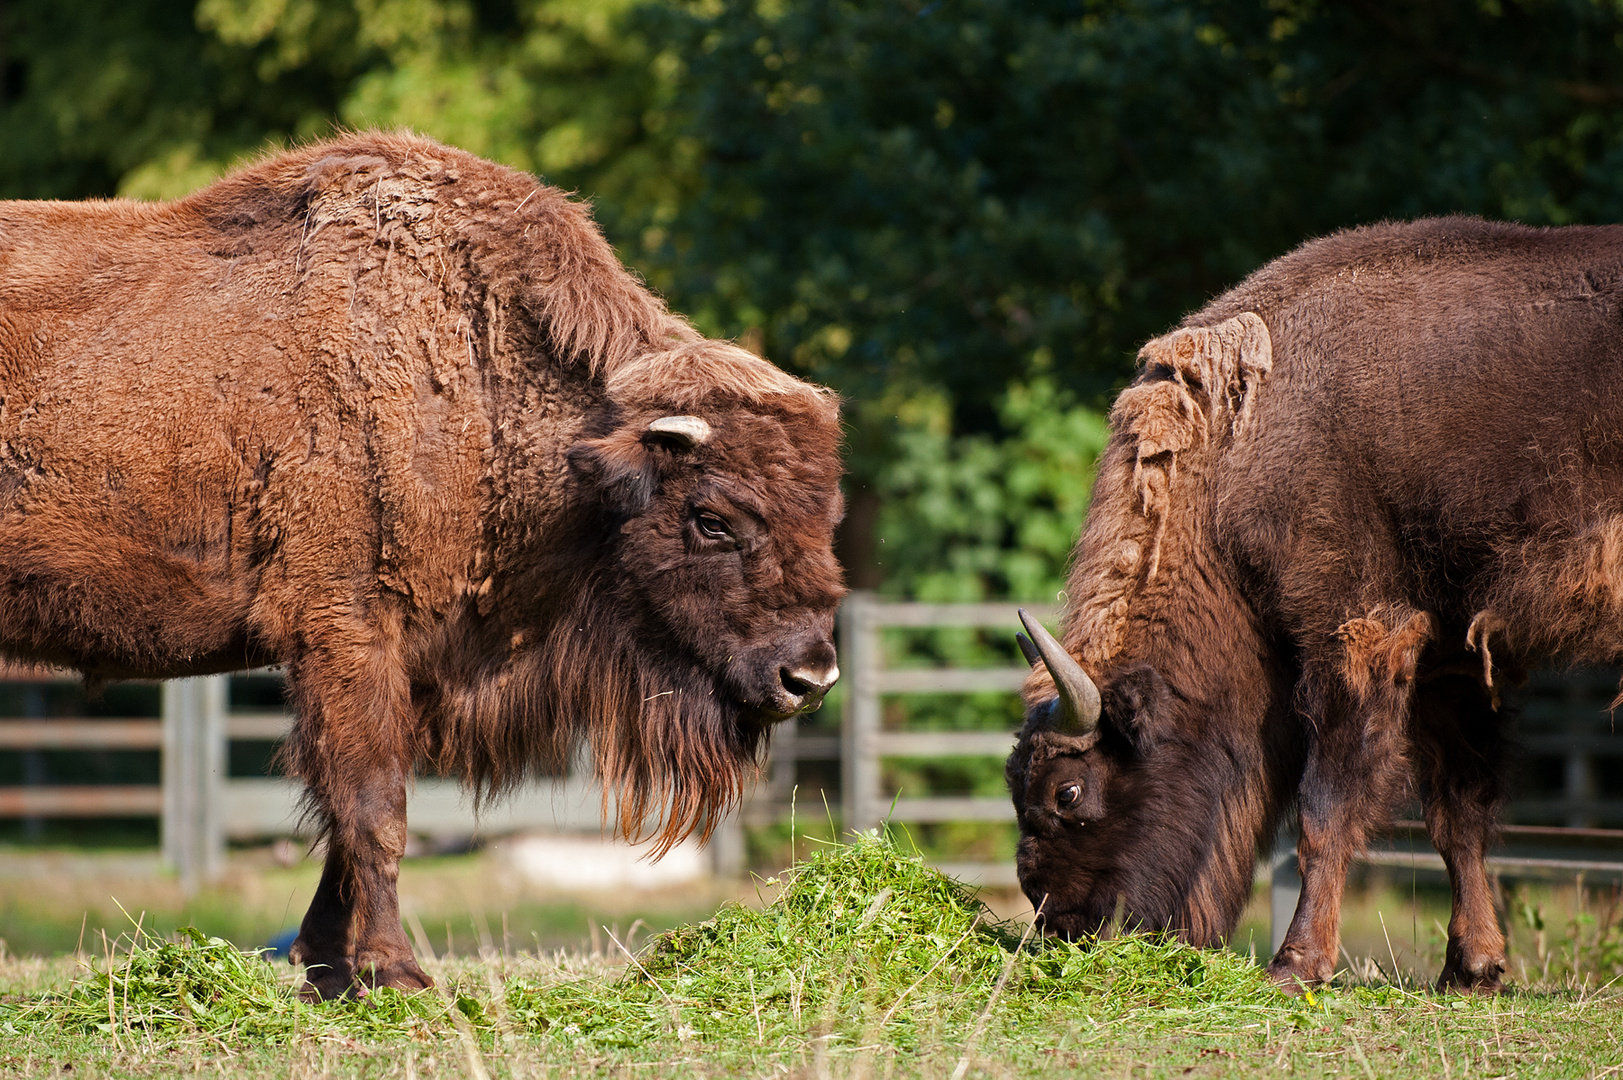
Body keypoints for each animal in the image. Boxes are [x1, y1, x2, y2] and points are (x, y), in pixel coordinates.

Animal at [0, 132, 856, 993]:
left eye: (827, 515)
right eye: (712, 519)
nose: (809, 678)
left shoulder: (403, 665)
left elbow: (345, 816)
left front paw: (325, 965)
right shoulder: (346, 631)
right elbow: (374, 807)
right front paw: (397, 973)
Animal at [999, 217, 1623, 993]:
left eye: (1068, 792)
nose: (1059, 922)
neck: (1234, 451)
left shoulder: (1353, 633)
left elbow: (1325, 810)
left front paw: (1294, 964)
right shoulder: (1449, 653)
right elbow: (1458, 813)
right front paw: (1470, 969)